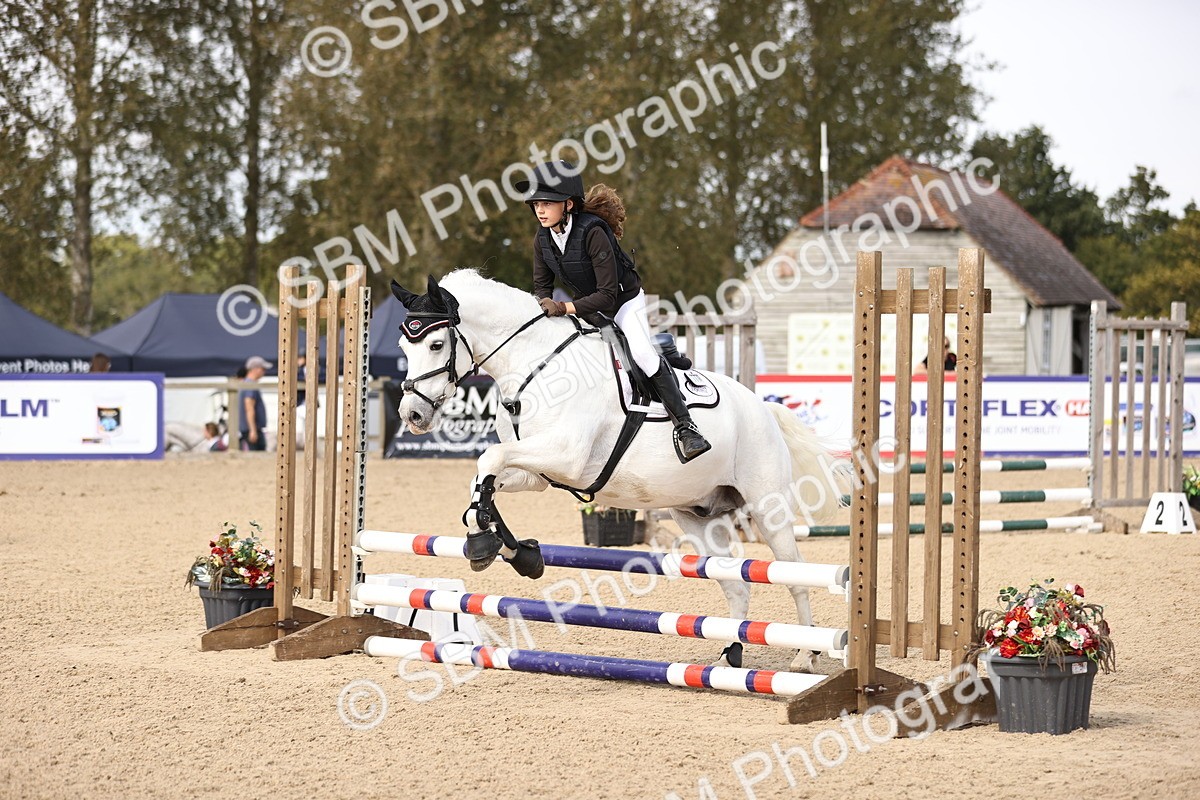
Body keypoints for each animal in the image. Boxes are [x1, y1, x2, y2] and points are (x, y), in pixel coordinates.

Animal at [391, 270, 839, 671]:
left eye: (435, 344)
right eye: (404, 346)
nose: (412, 415)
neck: (534, 364)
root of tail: (761, 406)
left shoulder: (564, 455)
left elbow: (489, 458)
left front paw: (490, 542)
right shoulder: (536, 474)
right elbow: (484, 474)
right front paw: (508, 549)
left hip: (767, 505)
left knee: (794, 574)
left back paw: (805, 654)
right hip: (696, 515)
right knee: (735, 584)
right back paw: (730, 655)